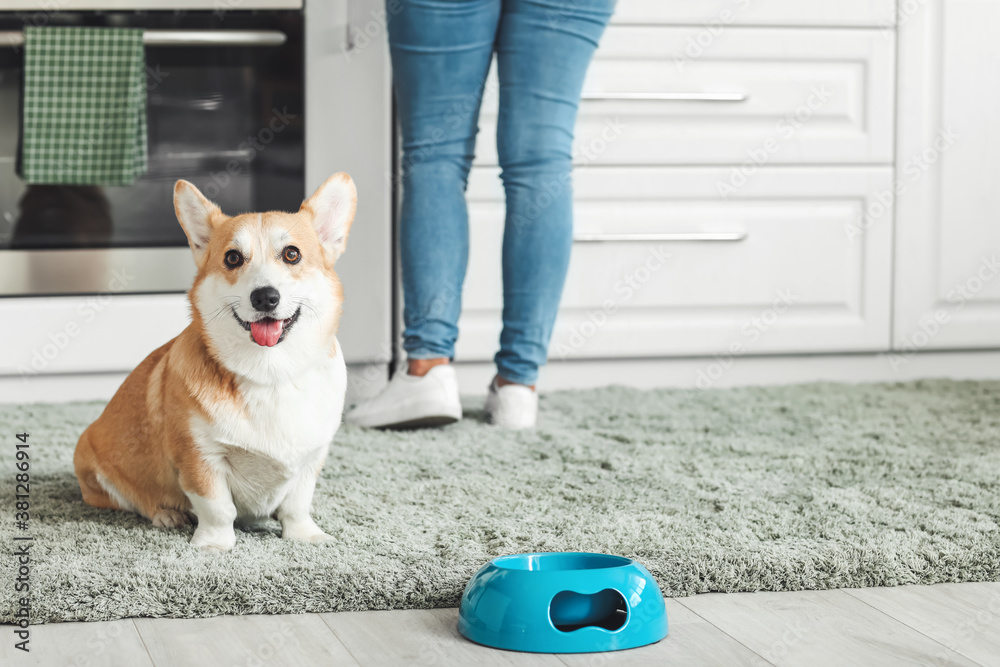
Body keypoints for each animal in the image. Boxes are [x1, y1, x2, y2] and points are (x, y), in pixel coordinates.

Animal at [74, 174, 358, 552]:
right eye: (233, 258)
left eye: (292, 254)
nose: (265, 297)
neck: (270, 375)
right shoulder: (200, 456)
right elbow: (217, 507)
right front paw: (214, 545)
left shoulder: (311, 458)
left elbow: (297, 504)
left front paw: (305, 536)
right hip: (96, 468)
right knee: (136, 500)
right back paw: (166, 514)